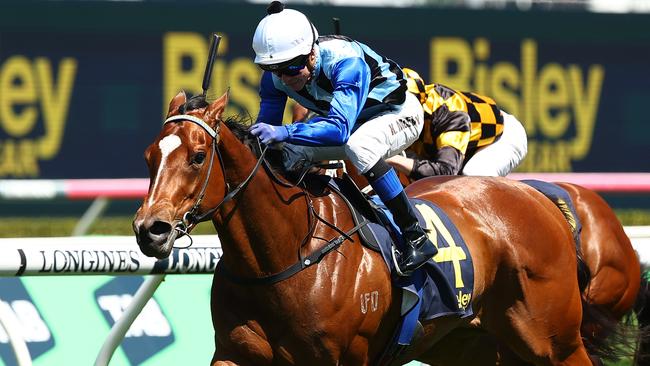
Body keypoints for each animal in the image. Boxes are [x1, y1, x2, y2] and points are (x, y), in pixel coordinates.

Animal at [135, 91, 592, 364]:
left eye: (197, 156)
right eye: (149, 155)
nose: (149, 229)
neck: (286, 257)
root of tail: (538, 198)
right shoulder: (236, 352)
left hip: (554, 340)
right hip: (471, 343)